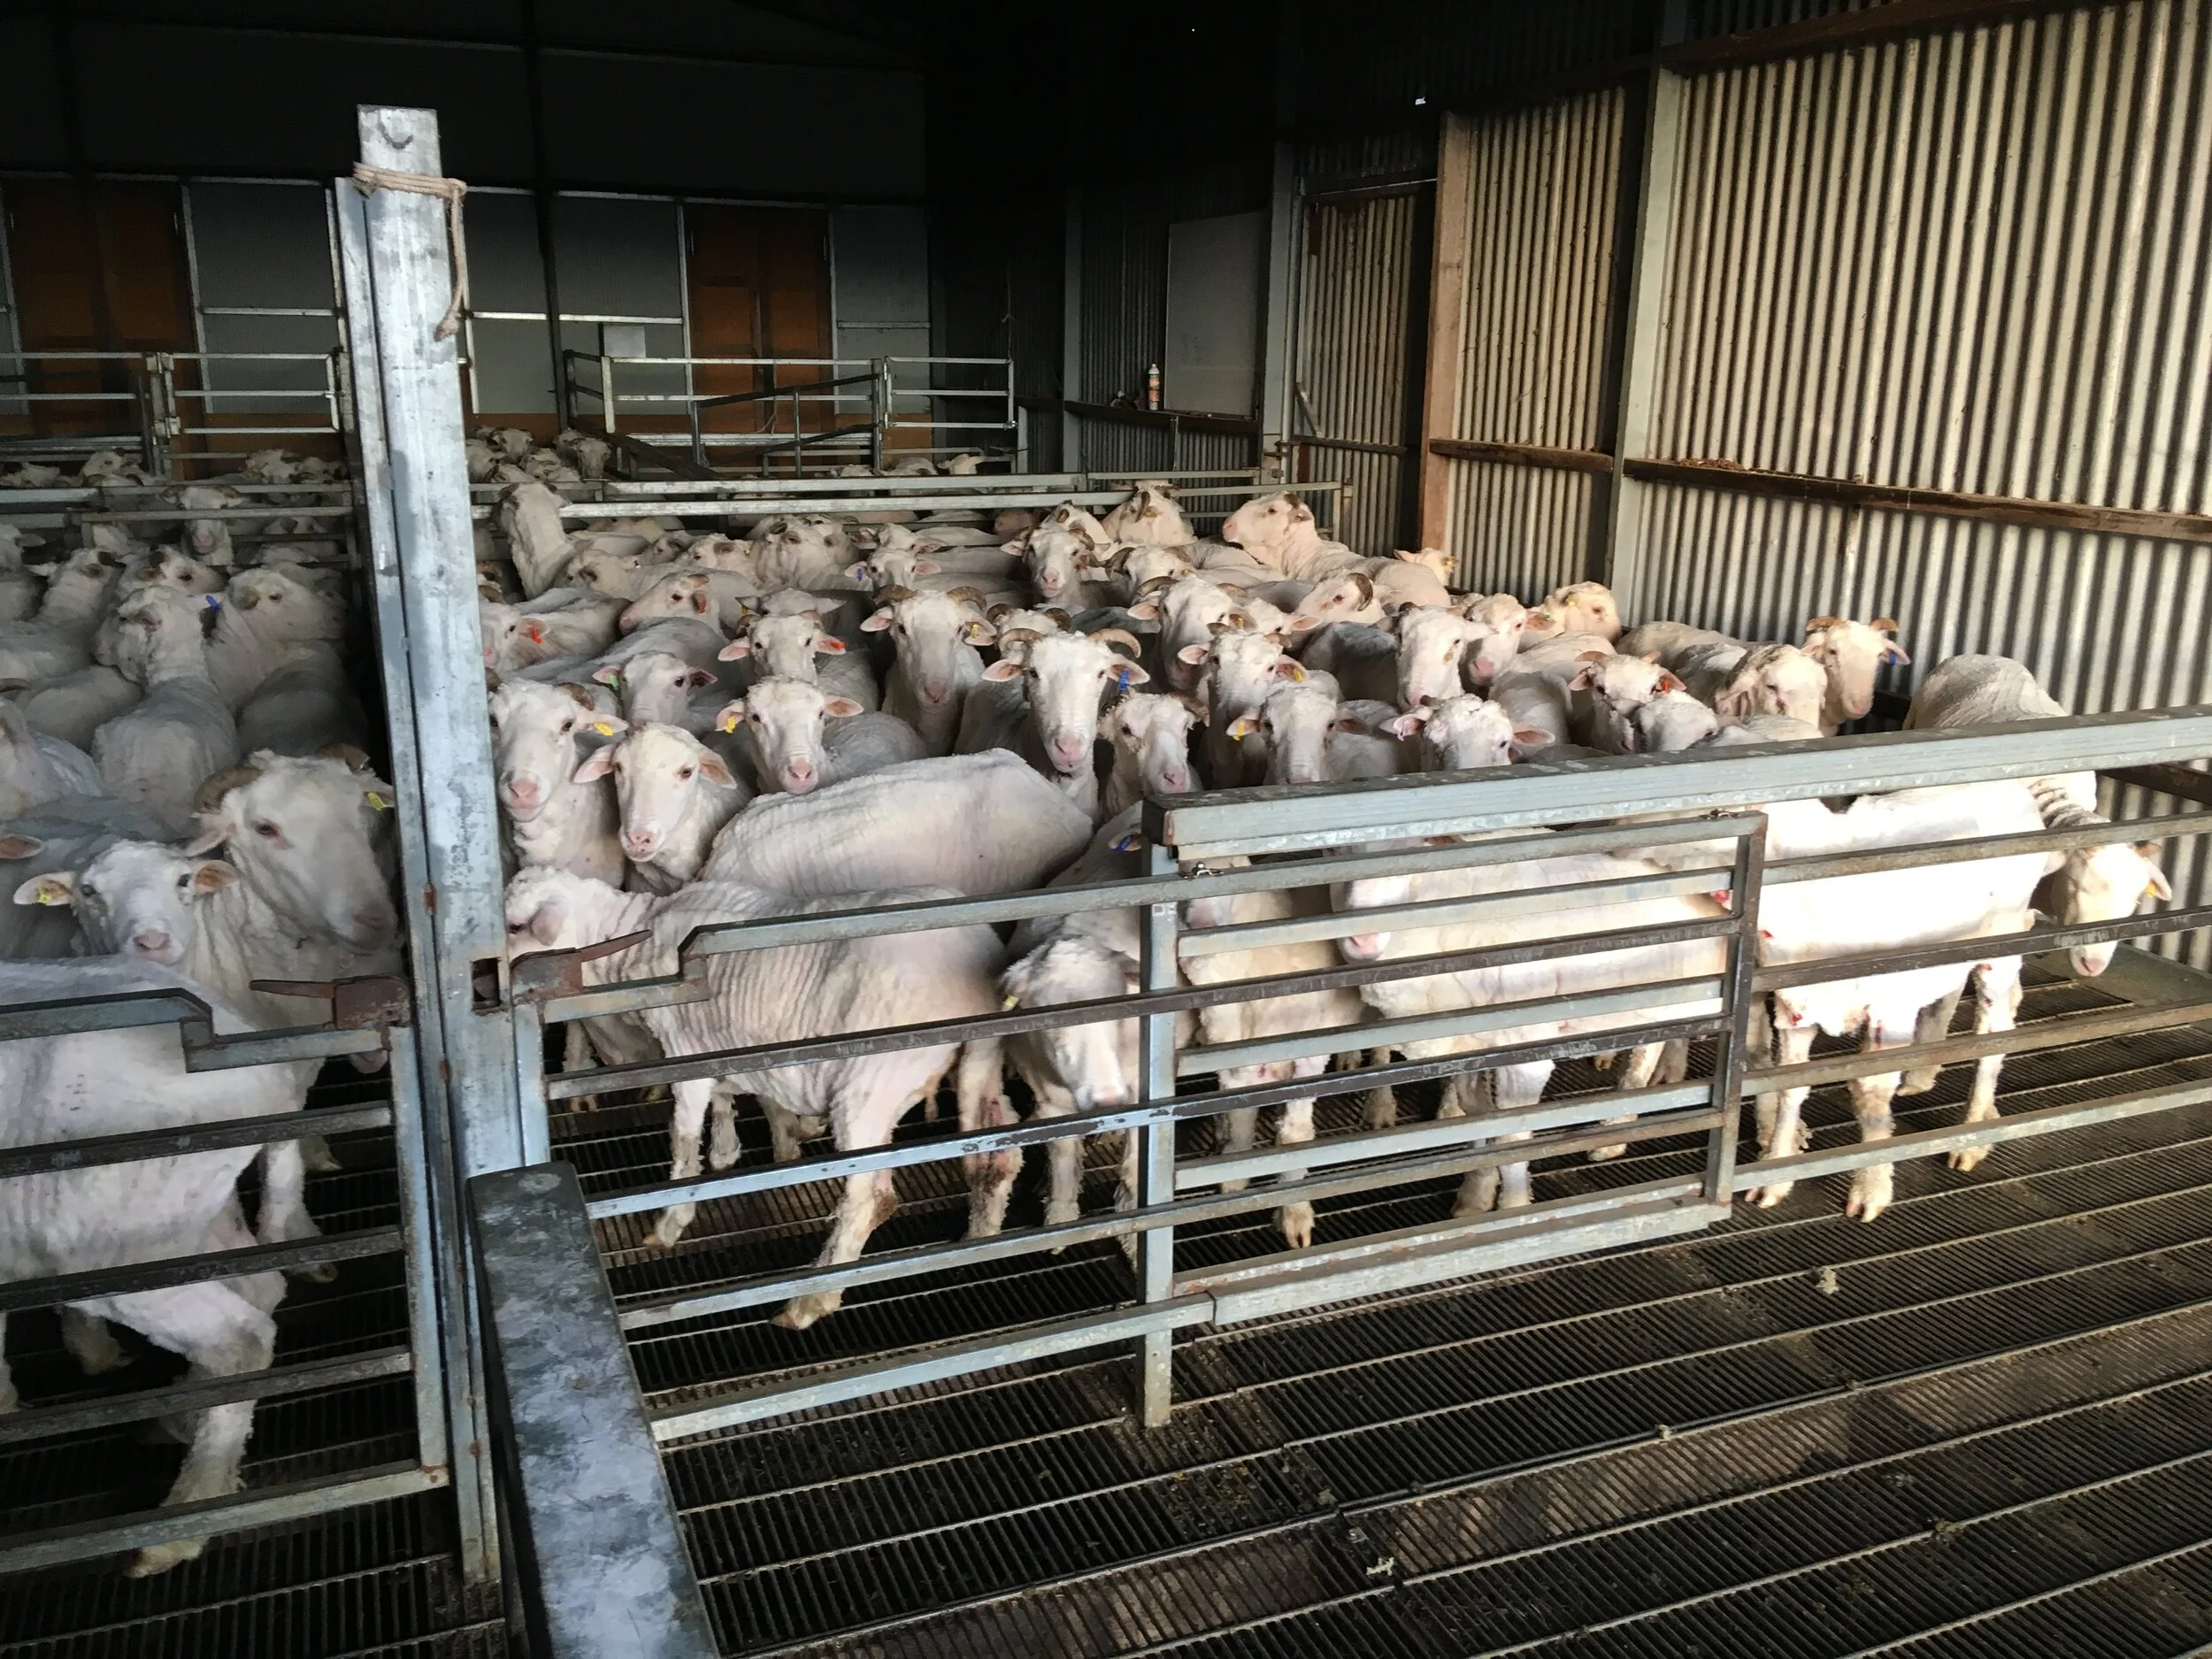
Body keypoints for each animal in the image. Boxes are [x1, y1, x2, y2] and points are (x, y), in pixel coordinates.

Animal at [504, 867, 1011, 1325]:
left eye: (514, 927)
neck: (632, 940)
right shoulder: (734, 1047)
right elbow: (749, 1101)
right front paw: (748, 1148)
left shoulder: (682, 1053)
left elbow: (684, 1139)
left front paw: (670, 1223)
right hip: (980, 1063)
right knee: (998, 1158)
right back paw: (980, 1242)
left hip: (872, 1083)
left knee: (869, 1200)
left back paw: (810, 1301)